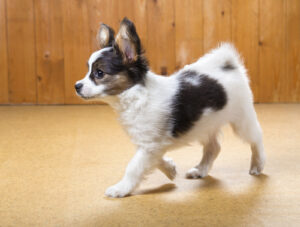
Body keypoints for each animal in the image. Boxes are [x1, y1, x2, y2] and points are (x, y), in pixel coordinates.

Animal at [74, 18, 264, 199]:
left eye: (99, 73)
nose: (77, 86)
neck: (136, 95)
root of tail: (228, 65)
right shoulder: (149, 144)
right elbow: (153, 159)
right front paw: (170, 169)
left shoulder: (149, 145)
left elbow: (134, 166)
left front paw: (121, 188)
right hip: (204, 124)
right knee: (213, 147)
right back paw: (200, 170)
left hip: (241, 120)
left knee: (256, 137)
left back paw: (258, 163)